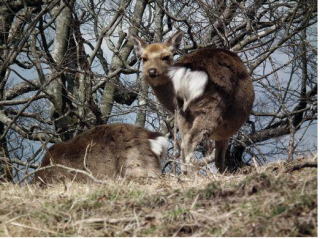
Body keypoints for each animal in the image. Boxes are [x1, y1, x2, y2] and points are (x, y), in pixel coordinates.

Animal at [130, 31, 255, 174]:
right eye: (144, 58)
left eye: (166, 57)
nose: (151, 71)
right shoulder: (224, 133)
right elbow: (219, 159)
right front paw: (225, 173)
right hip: (212, 105)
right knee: (191, 139)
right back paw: (191, 172)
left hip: (183, 112)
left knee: (184, 142)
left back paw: (184, 172)